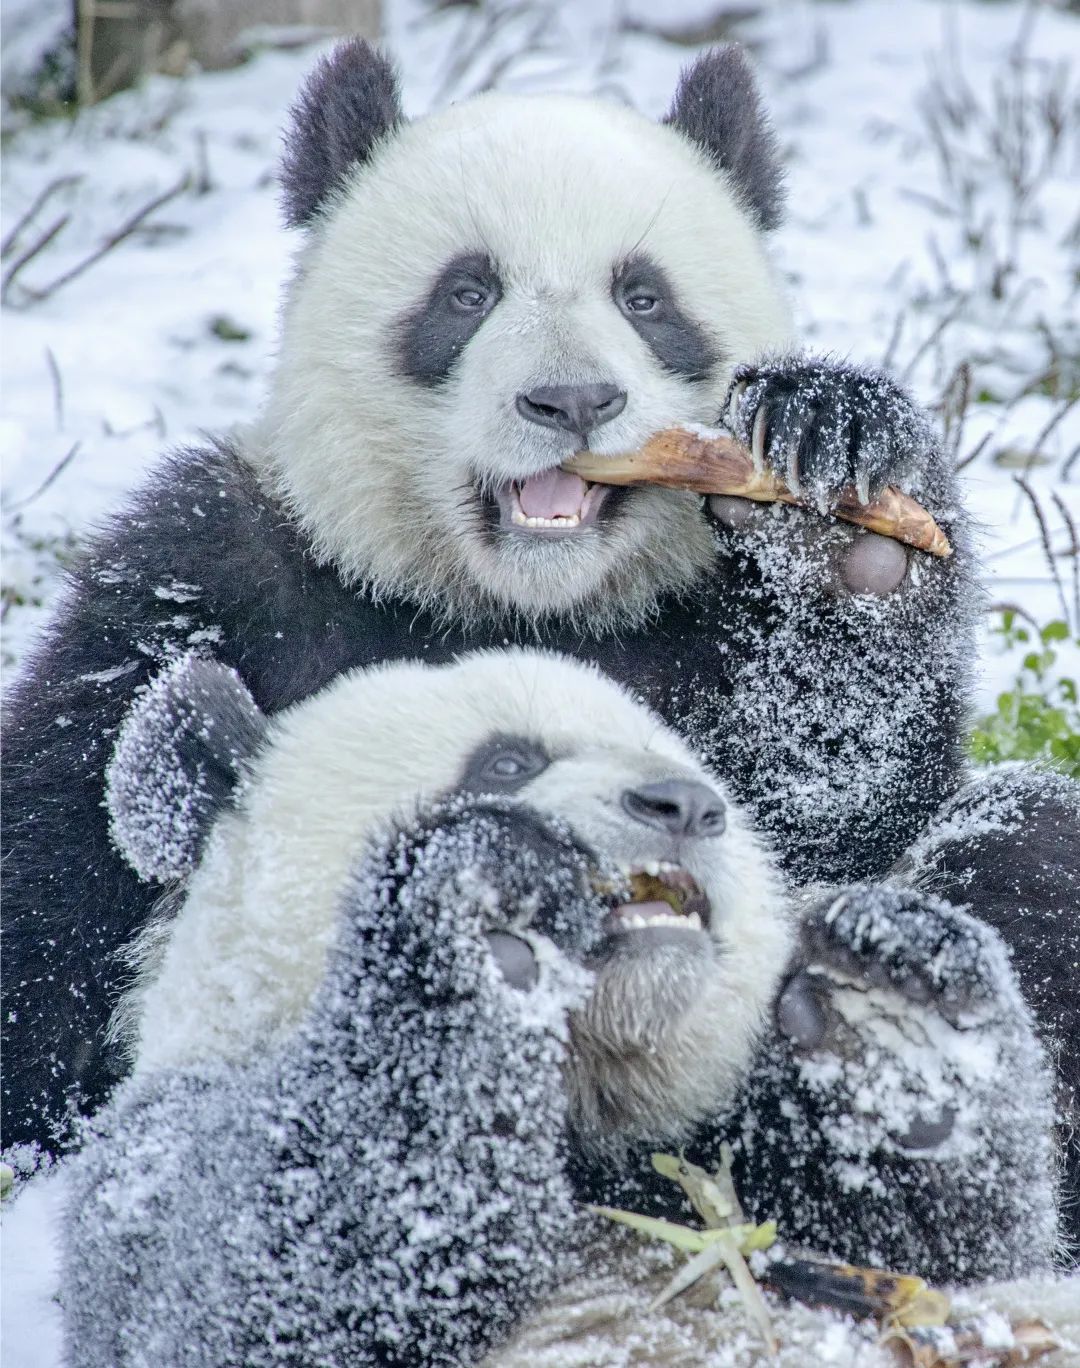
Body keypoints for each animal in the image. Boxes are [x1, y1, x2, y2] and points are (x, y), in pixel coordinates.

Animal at [0, 40, 1073, 1242]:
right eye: (467, 293)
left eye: (644, 297)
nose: (571, 400)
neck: (522, 601)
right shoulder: (210, 575)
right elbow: (57, 902)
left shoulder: (695, 631)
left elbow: (834, 796)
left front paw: (838, 511)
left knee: (1022, 853)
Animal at [58, 645, 1051, 1362]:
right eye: (507, 759)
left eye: (684, 765)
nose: (682, 805)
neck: (589, 1106)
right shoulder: (163, 1146)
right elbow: (268, 1275)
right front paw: (487, 927)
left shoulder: (713, 1156)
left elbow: (955, 1256)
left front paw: (892, 1037)